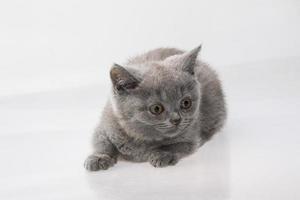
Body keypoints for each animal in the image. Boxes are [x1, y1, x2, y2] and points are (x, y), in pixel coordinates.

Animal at [84, 45, 225, 170]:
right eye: (156, 108)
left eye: (186, 103)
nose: (176, 119)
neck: (142, 138)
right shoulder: (104, 124)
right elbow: (101, 142)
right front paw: (99, 157)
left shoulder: (191, 137)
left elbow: (176, 145)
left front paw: (162, 155)